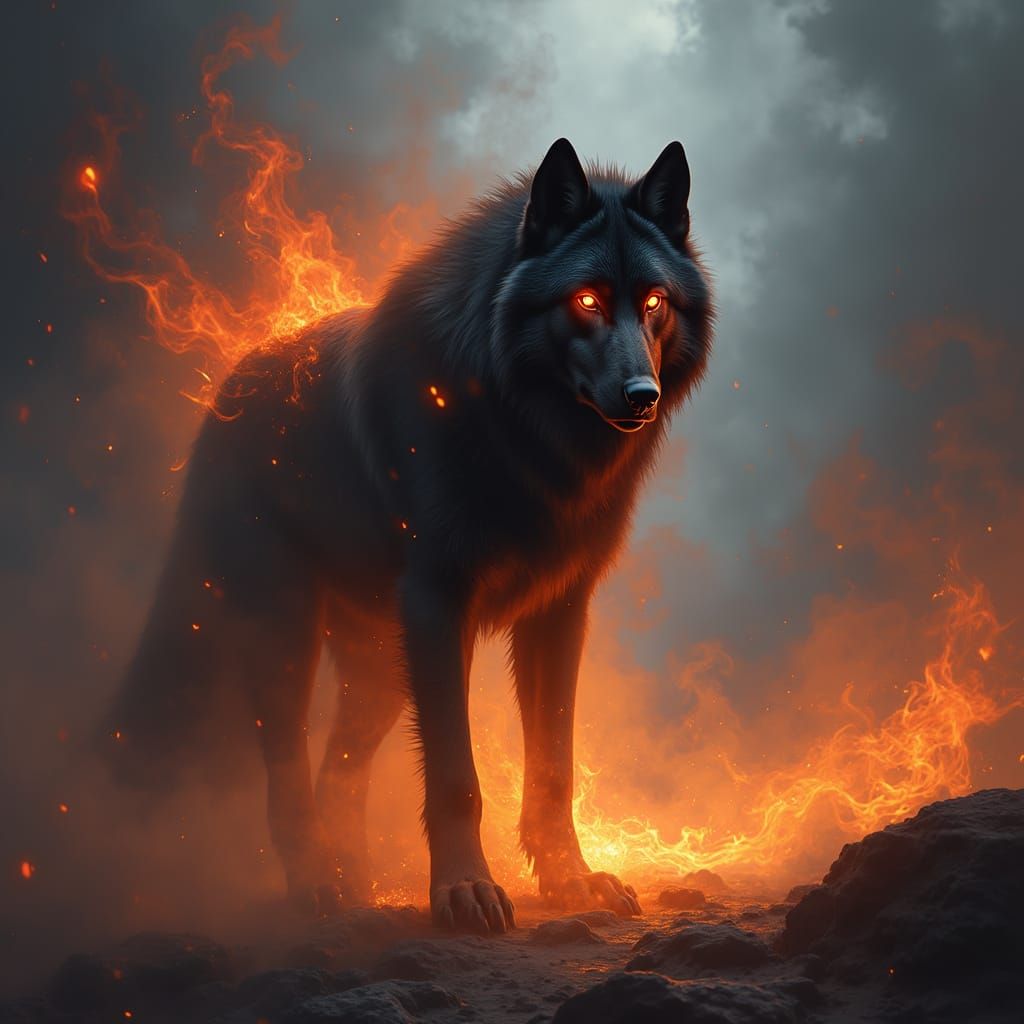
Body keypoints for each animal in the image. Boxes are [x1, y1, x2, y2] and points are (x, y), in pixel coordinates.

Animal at [104, 138, 713, 934]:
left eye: (654, 303)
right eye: (585, 301)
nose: (641, 397)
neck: (522, 434)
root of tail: (223, 395)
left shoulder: (559, 614)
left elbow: (552, 768)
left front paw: (569, 881)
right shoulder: (437, 605)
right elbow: (457, 778)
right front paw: (463, 892)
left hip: (382, 671)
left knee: (341, 764)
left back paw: (354, 878)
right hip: (292, 636)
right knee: (288, 768)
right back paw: (317, 885)